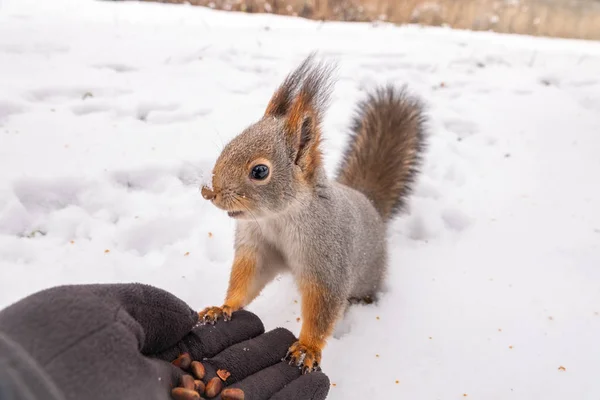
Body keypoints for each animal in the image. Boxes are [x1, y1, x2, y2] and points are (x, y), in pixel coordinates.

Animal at [197, 52, 426, 372]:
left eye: (260, 171)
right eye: (229, 145)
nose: (212, 193)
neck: (279, 218)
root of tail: (368, 201)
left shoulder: (328, 263)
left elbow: (322, 307)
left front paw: (307, 347)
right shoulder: (258, 248)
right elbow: (247, 280)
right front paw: (223, 307)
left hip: (370, 274)